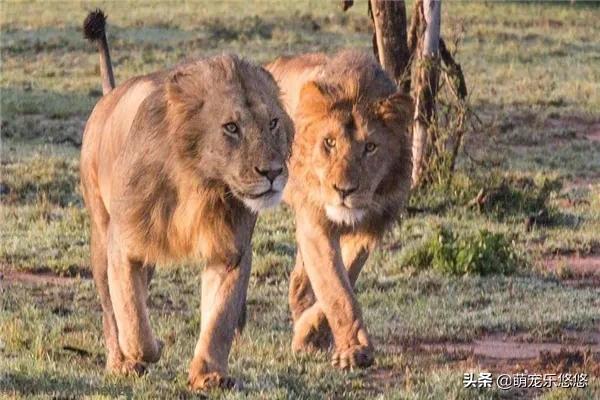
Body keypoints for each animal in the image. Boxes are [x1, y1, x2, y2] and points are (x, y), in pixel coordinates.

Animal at [79, 10, 292, 390]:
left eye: (272, 123)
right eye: (231, 127)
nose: (272, 172)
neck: (201, 184)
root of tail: (110, 96)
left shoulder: (231, 250)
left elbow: (220, 318)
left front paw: (209, 375)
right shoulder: (124, 243)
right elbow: (132, 318)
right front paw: (146, 351)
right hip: (102, 233)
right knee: (110, 308)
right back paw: (119, 362)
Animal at [268, 51, 412, 370]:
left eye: (370, 147)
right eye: (329, 143)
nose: (344, 190)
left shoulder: (368, 229)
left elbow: (342, 280)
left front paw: (309, 334)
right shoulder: (315, 222)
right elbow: (336, 290)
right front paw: (353, 350)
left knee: (301, 277)